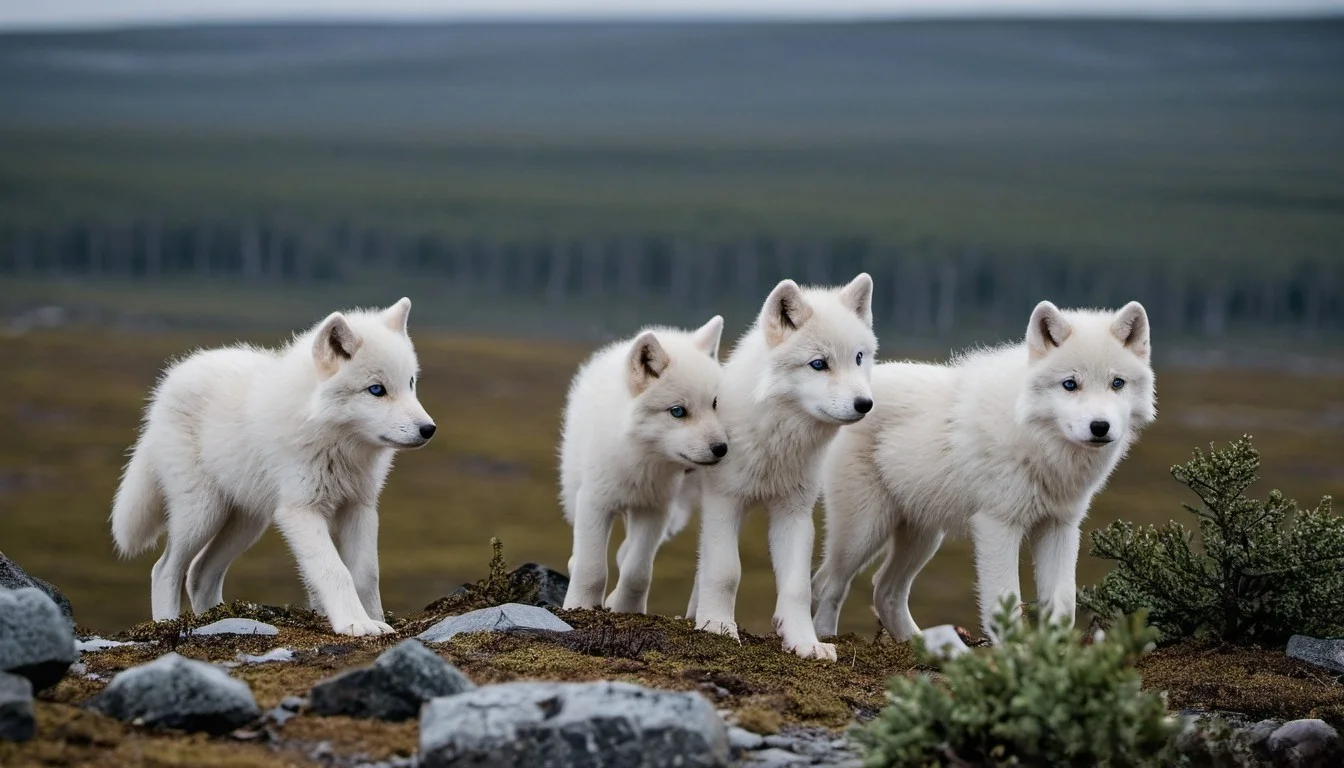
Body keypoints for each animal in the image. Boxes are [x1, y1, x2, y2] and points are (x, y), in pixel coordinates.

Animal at [109, 298, 435, 636]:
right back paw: (167, 624)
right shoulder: (301, 512)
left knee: (200, 573)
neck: (336, 443)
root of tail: (165, 387)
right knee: (164, 569)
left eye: (410, 383)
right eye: (376, 390)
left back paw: (217, 620)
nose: (429, 429)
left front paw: (376, 619)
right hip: (202, 515)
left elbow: (366, 574)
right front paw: (355, 623)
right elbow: (335, 571)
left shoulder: (359, 508)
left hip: (247, 522)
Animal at [559, 316, 728, 614]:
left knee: (624, 553)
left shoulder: (654, 512)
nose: (721, 448)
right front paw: (580, 605)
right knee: (582, 554)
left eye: (715, 404)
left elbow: (637, 572)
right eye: (677, 411)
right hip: (573, 495)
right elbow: (592, 568)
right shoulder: (595, 503)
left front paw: (627, 609)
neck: (642, 462)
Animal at [689, 274, 876, 660]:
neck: (776, 439)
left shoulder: (794, 512)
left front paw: (804, 642)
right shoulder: (723, 502)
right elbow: (726, 572)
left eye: (858, 357)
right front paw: (718, 629)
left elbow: (797, 586)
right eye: (818, 364)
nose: (865, 404)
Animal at [812, 300, 1156, 643]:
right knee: (828, 582)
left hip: (923, 537)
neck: (1037, 442)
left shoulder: (1060, 527)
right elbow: (1005, 601)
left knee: (885, 591)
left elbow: (1063, 605)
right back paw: (825, 638)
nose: (1100, 427)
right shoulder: (997, 526)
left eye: (1117, 383)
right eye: (1070, 384)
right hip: (864, 531)